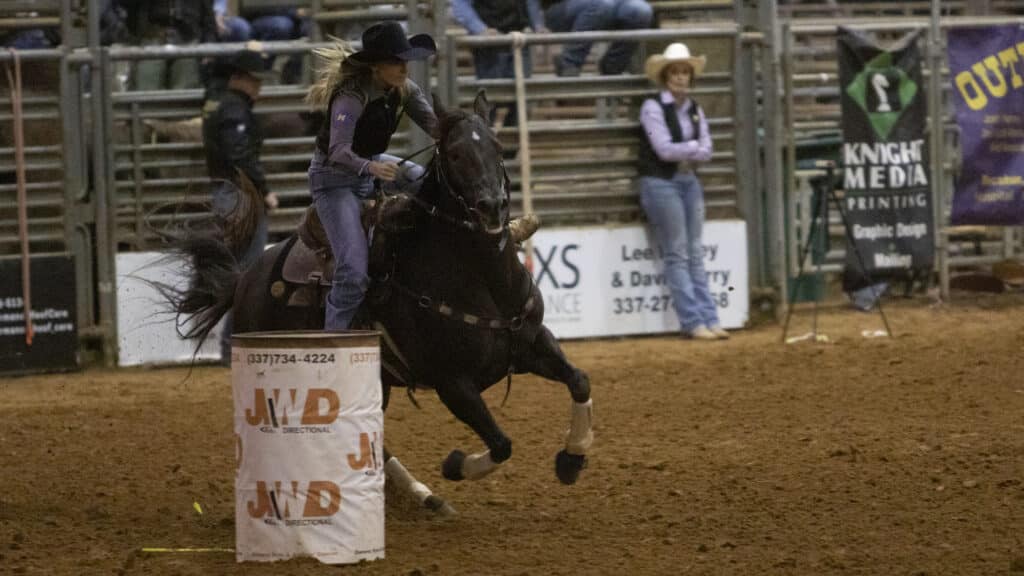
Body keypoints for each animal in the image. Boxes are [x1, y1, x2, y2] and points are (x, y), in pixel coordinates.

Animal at [167, 91, 593, 512]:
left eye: (499, 147)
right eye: (455, 154)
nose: (492, 205)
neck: (481, 279)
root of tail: (246, 278)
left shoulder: (531, 342)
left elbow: (579, 380)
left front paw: (572, 458)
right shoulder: (453, 383)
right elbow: (502, 444)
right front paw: (455, 464)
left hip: (377, 382)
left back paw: (422, 495)